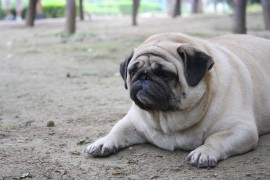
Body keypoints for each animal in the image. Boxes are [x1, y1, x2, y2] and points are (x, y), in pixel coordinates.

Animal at [85, 33, 270, 168]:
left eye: (165, 74)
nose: (143, 77)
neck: (167, 118)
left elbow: (216, 138)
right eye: (132, 71)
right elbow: (117, 130)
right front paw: (103, 142)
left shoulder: (241, 129)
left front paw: (204, 151)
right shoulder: (133, 121)